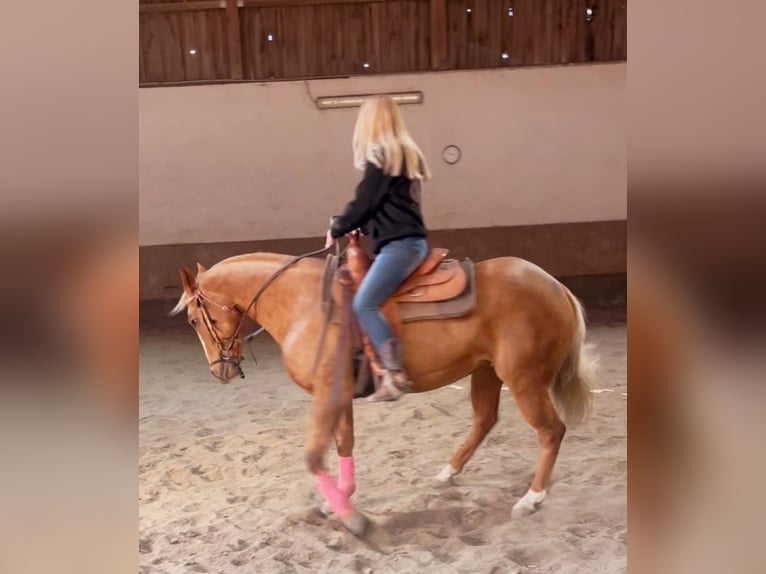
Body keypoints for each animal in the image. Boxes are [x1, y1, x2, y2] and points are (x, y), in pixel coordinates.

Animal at [169, 245, 596, 535]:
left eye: (193, 319)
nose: (220, 371)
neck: (304, 303)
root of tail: (555, 286)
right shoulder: (338, 395)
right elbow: (344, 443)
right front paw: (339, 501)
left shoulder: (327, 395)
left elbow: (317, 454)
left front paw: (349, 515)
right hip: (487, 372)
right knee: (485, 419)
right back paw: (448, 472)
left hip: (524, 378)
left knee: (550, 431)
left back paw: (530, 499)